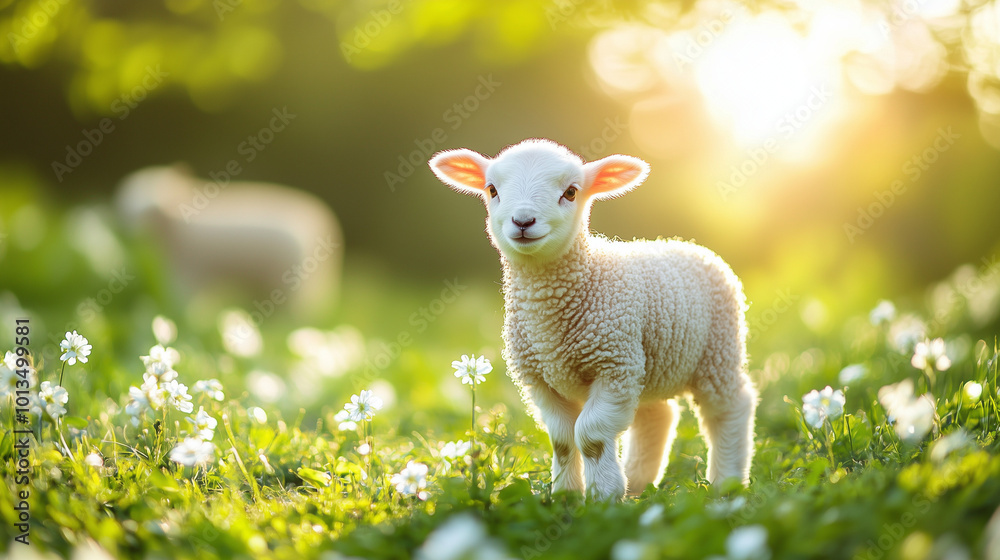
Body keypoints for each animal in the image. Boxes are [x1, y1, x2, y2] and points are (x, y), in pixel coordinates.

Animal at [116, 165, 342, 320]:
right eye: (126, 208)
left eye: (152, 212)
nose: (132, 232)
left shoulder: (189, 274)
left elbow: (185, 303)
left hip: (292, 281)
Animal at [429, 139, 756, 501]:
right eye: (491, 189)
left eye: (571, 192)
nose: (523, 221)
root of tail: (689, 245)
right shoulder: (540, 378)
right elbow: (562, 439)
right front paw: (567, 495)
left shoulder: (613, 364)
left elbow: (591, 436)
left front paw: (603, 496)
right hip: (649, 363)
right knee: (656, 415)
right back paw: (637, 484)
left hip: (717, 350)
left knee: (729, 408)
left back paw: (726, 483)